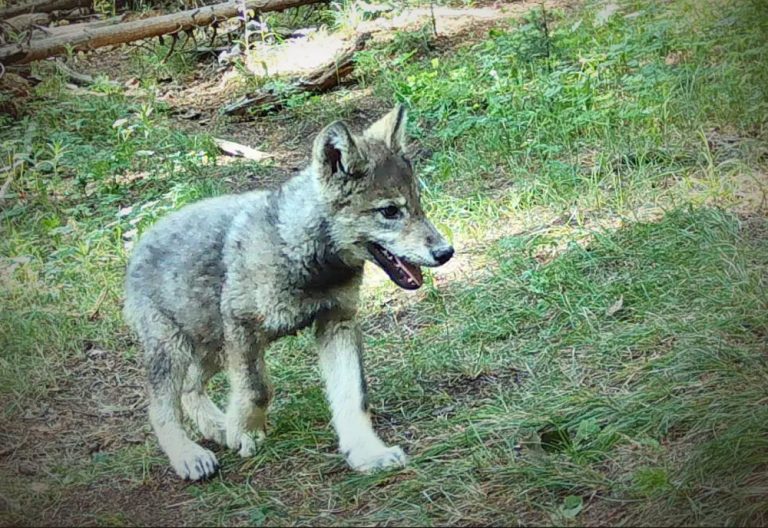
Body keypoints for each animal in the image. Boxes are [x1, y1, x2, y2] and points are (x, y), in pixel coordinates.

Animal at [123, 105, 454, 480]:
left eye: (418, 205)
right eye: (390, 211)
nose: (446, 252)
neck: (299, 252)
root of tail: (141, 239)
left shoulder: (337, 322)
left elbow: (354, 395)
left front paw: (367, 454)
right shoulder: (243, 326)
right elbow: (257, 389)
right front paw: (244, 431)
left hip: (212, 347)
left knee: (191, 389)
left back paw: (217, 427)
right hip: (177, 348)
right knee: (160, 407)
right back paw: (188, 455)